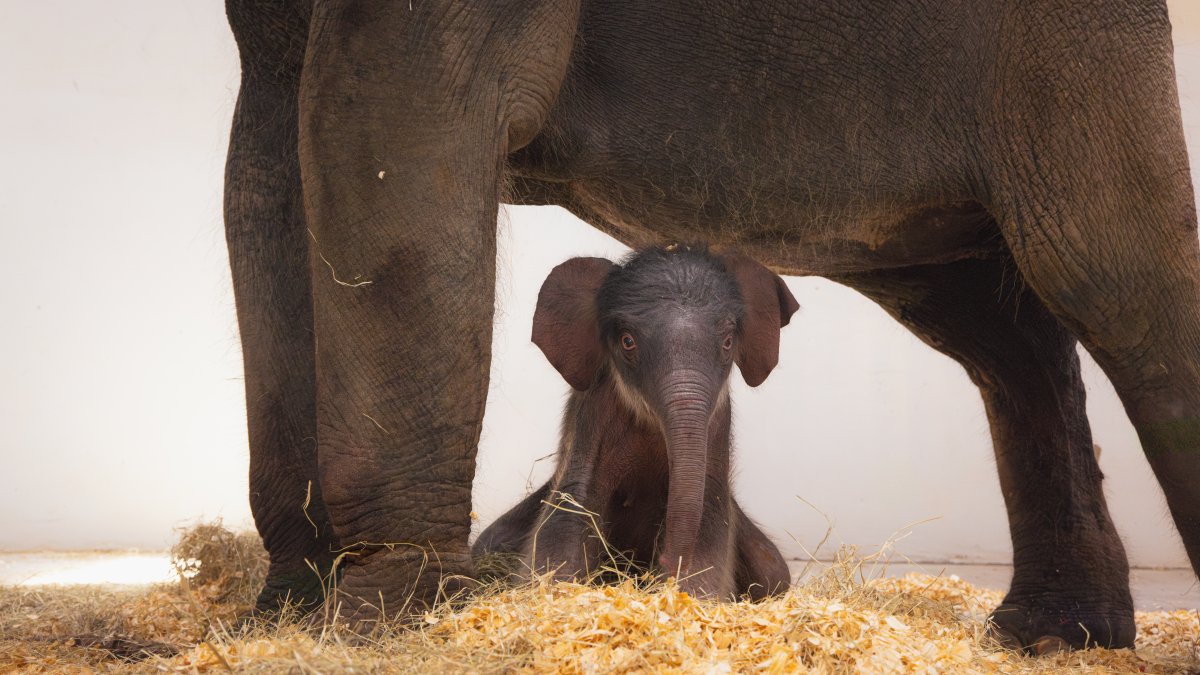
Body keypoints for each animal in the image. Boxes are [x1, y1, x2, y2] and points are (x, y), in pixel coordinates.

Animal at [472, 246, 796, 601]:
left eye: (727, 343)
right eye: (628, 342)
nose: (664, 561)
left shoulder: (718, 423)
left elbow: (710, 513)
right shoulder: (593, 417)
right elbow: (572, 507)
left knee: (774, 571)